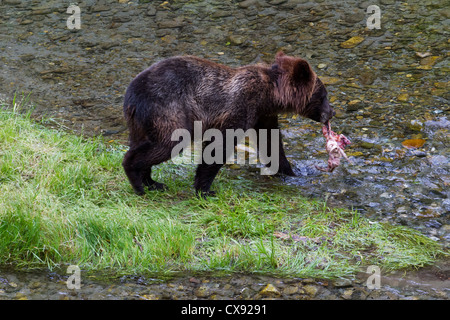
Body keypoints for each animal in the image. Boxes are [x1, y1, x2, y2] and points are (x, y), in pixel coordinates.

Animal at [122, 51, 334, 196]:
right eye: (323, 95)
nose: (331, 112)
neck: (269, 95)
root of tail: (131, 96)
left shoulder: (263, 115)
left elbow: (271, 143)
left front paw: (291, 172)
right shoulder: (240, 106)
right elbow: (220, 144)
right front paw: (205, 189)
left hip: (140, 122)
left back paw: (152, 182)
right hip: (168, 109)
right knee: (166, 144)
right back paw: (137, 181)